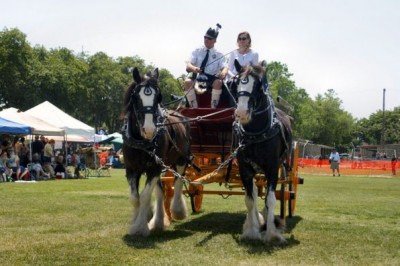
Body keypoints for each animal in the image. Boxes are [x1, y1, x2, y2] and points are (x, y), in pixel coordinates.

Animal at [121, 67, 191, 236]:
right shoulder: (131, 169)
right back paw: (158, 221)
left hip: (181, 159)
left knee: (178, 182)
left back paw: (177, 210)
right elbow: (135, 198)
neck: (142, 142)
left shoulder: (154, 167)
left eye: (157, 97)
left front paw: (140, 227)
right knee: (160, 191)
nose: (149, 130)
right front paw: (139, 220)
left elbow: (145, 196)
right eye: (136, 98)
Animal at [233, 60, 292, 243]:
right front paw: (252, 231)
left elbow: (271, 199)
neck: (255, 134)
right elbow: (250, 200)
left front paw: (272, 233)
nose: (241, 113)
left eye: (259, 85)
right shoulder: (244, 168)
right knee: (254, 191)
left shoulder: (272, 168)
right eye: (235, 82)